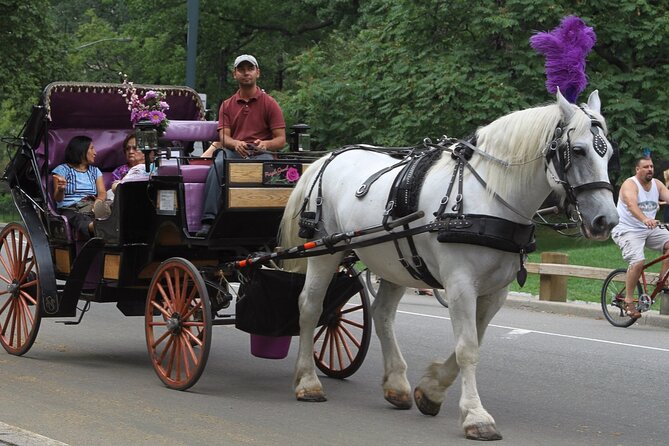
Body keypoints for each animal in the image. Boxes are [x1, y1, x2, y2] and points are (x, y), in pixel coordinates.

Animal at [276, 90, 616, 440]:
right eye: (578, 150)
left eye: (608, 154)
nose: (606, 220)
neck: (488, 198)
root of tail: (327, 158)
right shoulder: (459, 285)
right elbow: (467, 347)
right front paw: (476, 416)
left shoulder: (495, 291)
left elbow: (475, 340)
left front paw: (431, 390)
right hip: (324, 251)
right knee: (311, 307)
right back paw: (308, 381)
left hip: (395, 261)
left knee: (382, 314)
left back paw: (396, 383)